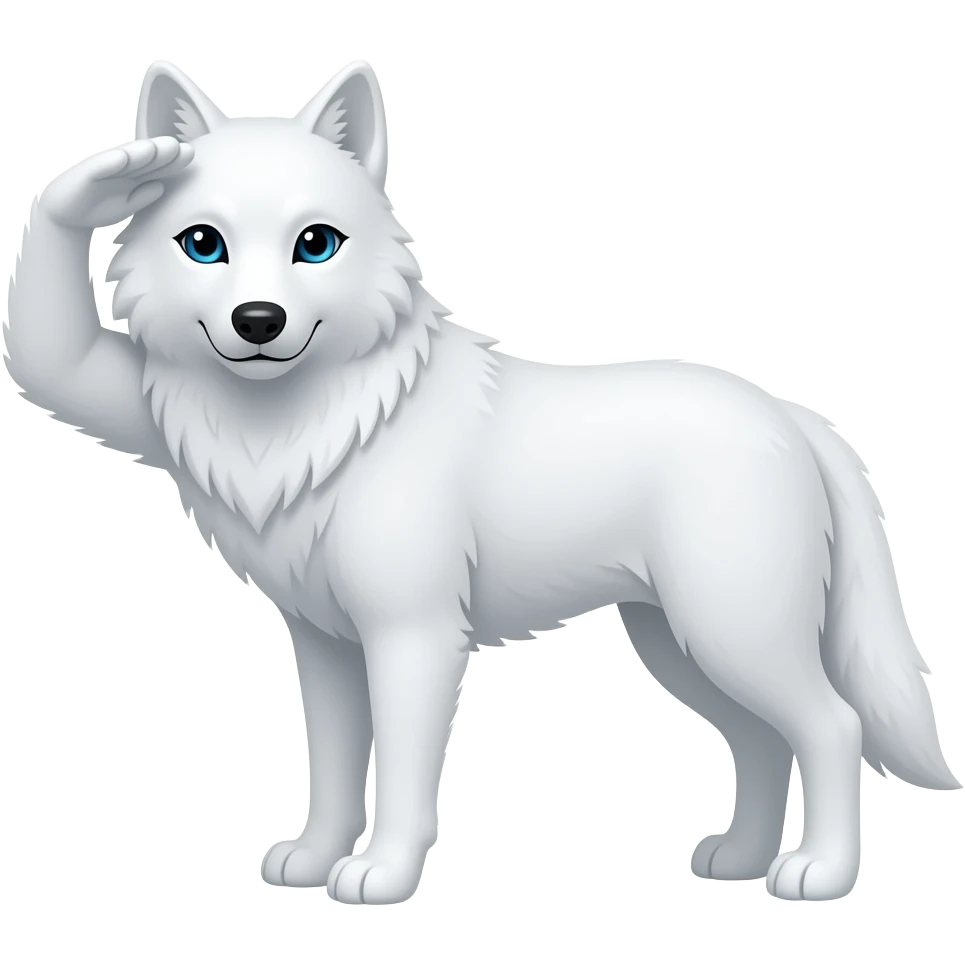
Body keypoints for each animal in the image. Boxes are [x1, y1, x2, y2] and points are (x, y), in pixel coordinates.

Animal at [3, 59, 958, 905]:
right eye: (203, 244)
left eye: (315, 245)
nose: (258, 321)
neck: (308, 422)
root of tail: (793, 416)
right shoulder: (325, 644)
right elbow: (333, 767)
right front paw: (313, 860)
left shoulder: (414, 637)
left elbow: (403, 776)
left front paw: (380, 877)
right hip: (679, 643)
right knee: (762, 742)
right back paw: (739, 860)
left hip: (732, 631)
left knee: (832, 726)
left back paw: (817, 875)